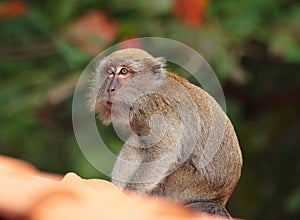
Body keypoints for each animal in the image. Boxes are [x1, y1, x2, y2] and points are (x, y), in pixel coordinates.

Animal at [88, 47, 243, 217]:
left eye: (124, 71)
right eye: (110, 72)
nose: (110, 88)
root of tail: (218, 200)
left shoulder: (153, 105)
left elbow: (164, 151)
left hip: (181, 187)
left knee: (137, 142)